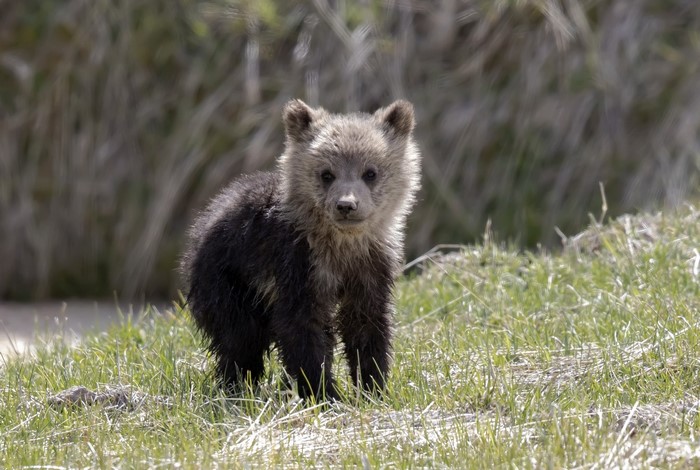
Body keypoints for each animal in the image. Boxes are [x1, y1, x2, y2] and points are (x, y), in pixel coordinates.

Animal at [180, 99, 421, 401]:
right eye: (326, 173)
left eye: (370, 172)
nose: (346, 205)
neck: (341, 245)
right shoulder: (297, 262)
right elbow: (303, 326)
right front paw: (325, 392)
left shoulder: (372, 265)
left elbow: (367, 322)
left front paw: (373, 387)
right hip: (228, 279)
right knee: (240, 337)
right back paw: (237, 387)